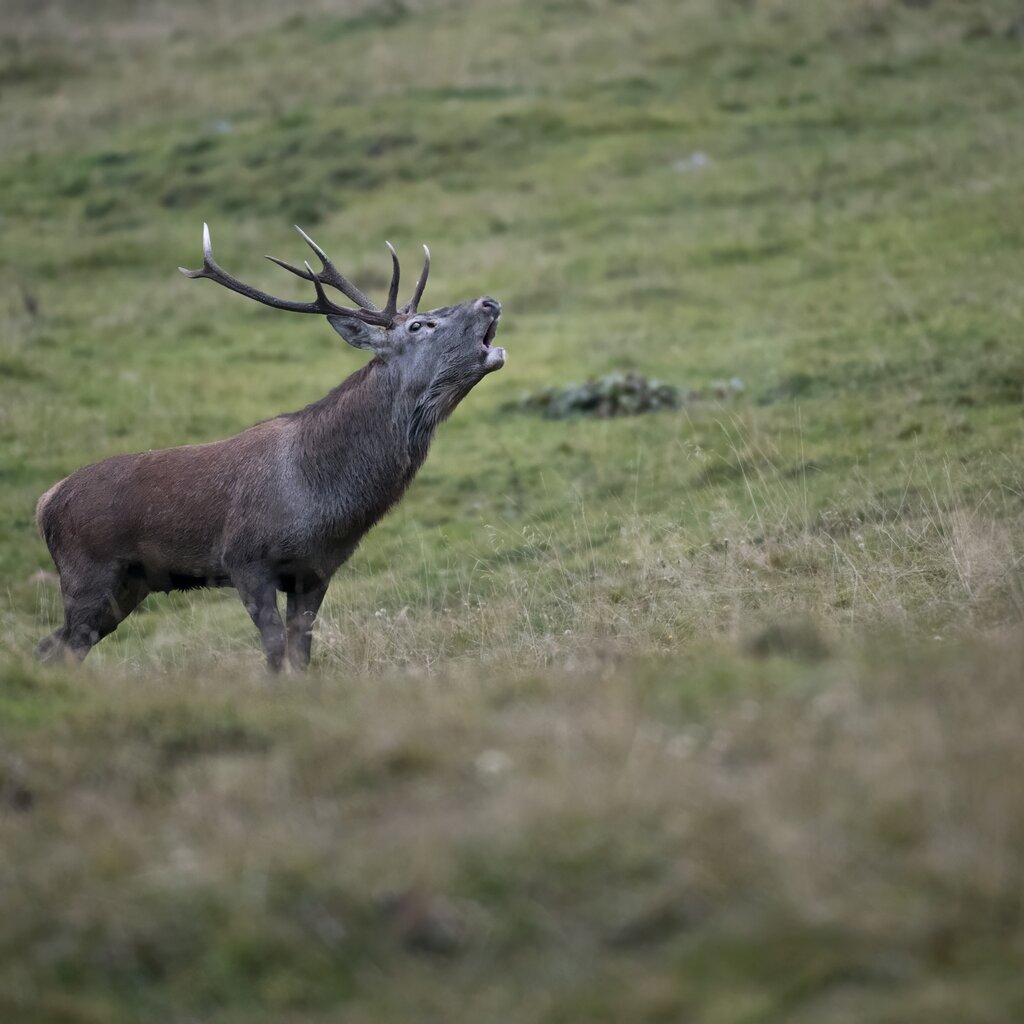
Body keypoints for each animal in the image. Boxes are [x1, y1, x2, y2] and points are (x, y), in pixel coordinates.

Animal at [35, 223, 505, 672]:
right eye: (419, 325)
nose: (490, 302)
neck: (319, 496)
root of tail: (45, 502)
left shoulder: (315, 571)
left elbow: (302, 651)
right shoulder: (245, 560)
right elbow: (275, 650)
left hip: (130, 584)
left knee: (55, 646)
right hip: (88, 573)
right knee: (65, 644)